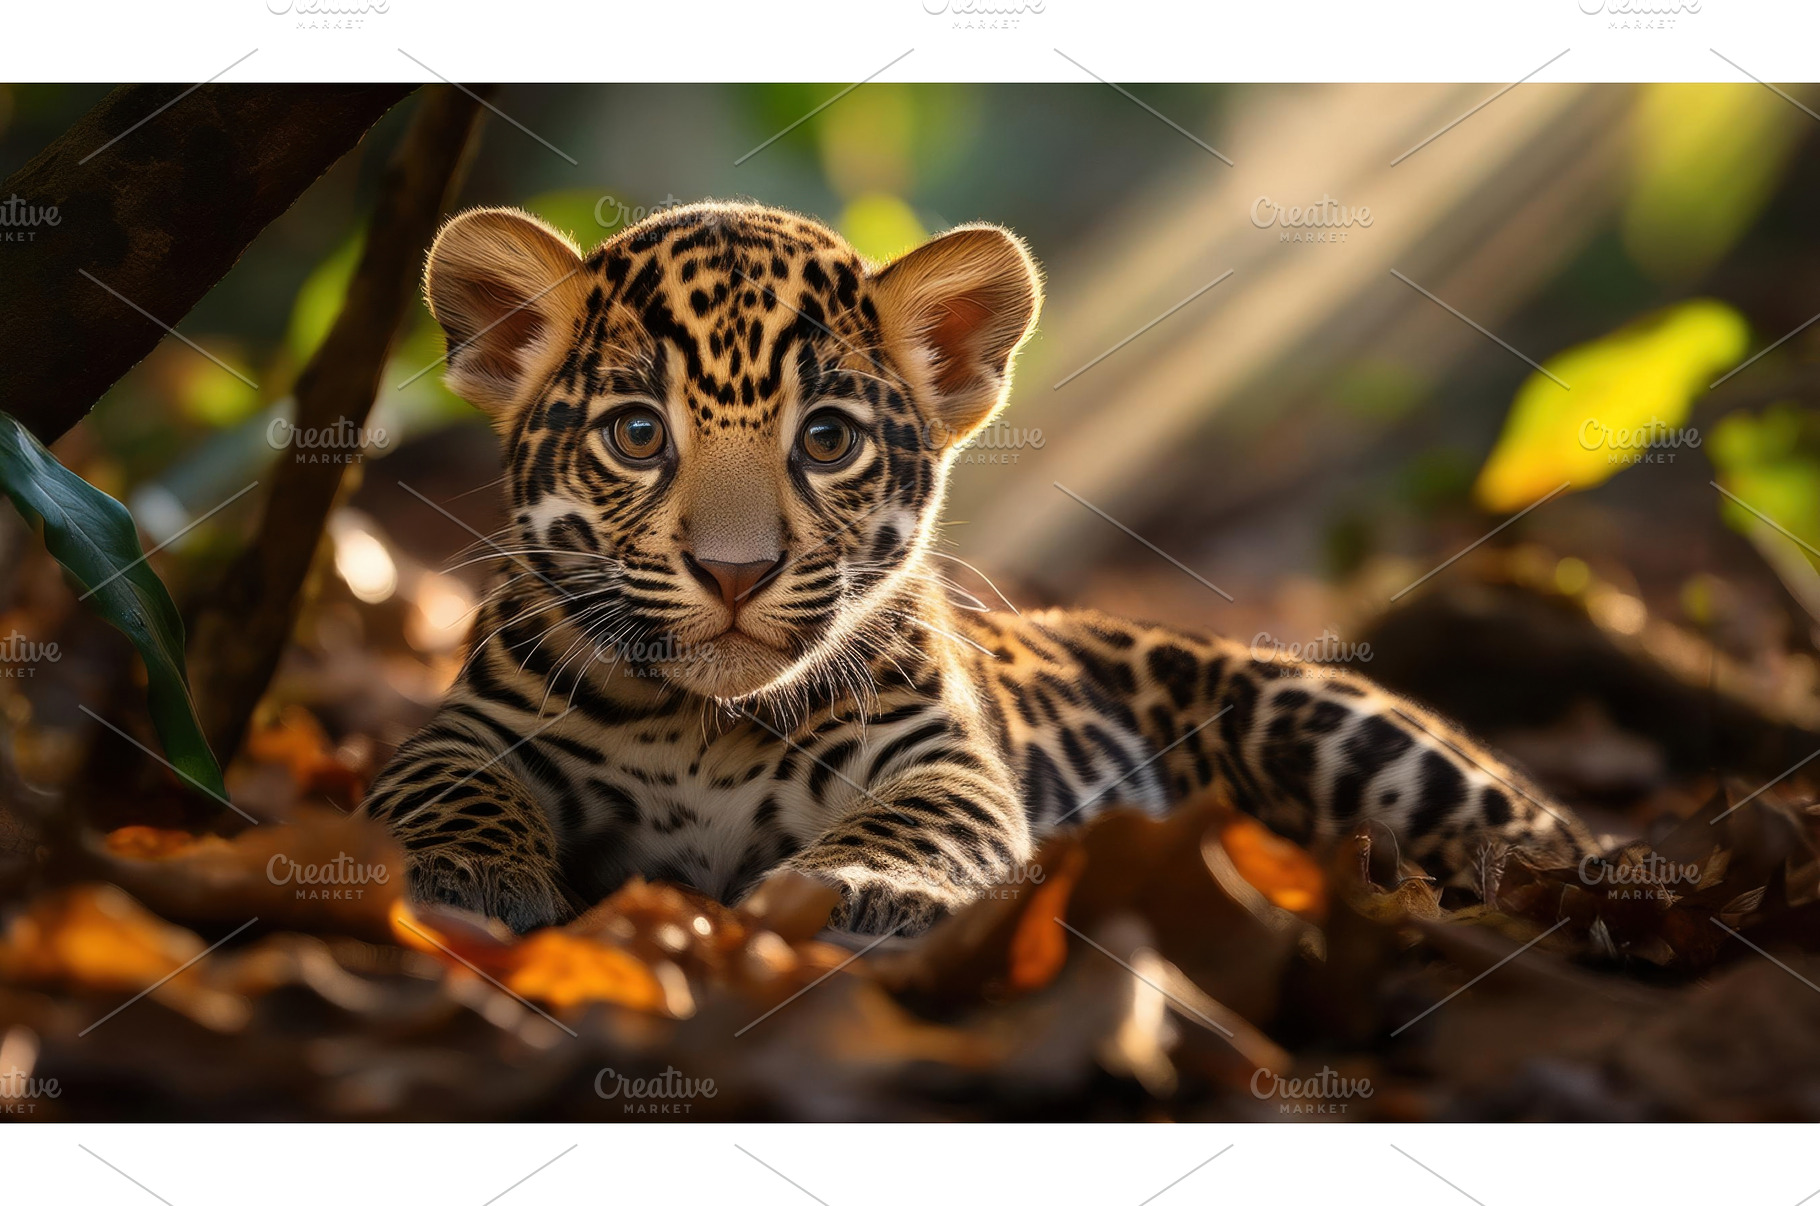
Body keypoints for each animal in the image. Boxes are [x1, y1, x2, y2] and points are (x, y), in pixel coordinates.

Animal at [359, 200, 1597, 936]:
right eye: (634, 434)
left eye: (826, 440)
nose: (733, 571)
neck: (701, 725)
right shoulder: (464, 733)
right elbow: (445, 788)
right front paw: (472, 877)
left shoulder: (941, 760)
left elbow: (919, 824)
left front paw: (857, 884)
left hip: (1350, 736)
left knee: (1549, 836)